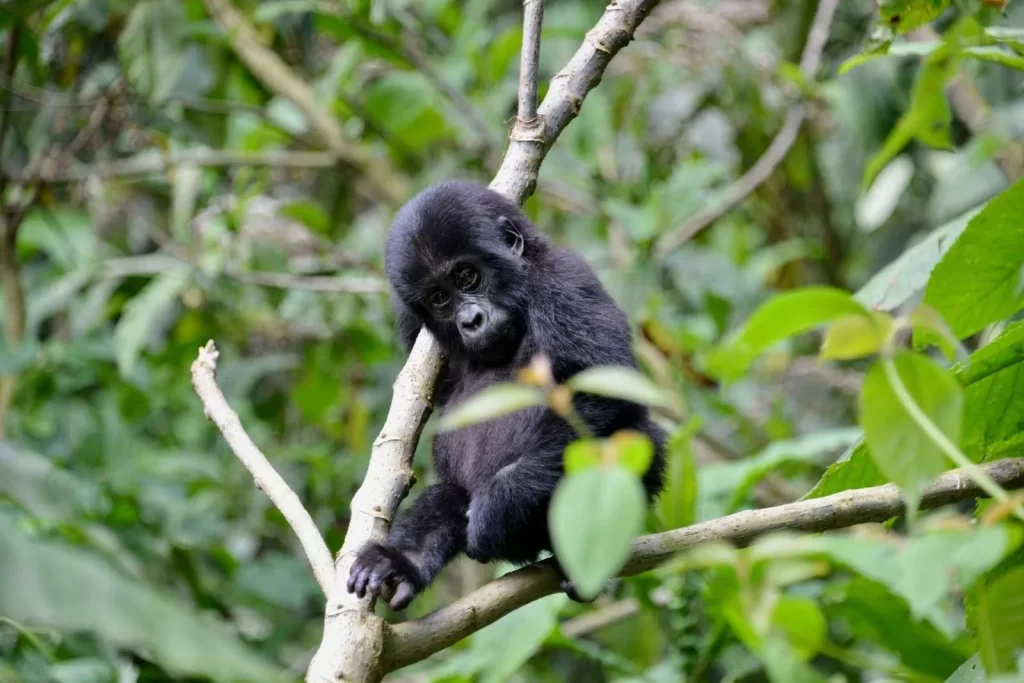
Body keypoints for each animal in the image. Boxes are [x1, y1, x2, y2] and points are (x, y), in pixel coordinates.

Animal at [346, 180, 665, 610]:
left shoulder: (563, 278)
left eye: (467, 275)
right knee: (450, 496)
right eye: (439, 298)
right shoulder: (415, 326)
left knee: (636, 439)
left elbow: (597, 388)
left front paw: (500, 508)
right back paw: (403, 562)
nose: (471, 320)